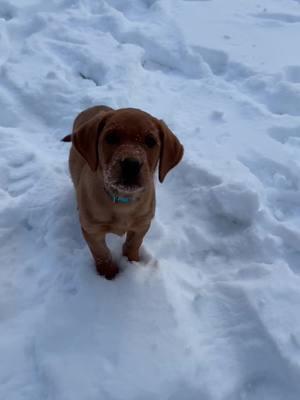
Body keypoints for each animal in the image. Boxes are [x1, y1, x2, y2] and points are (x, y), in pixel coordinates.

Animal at [63, 108, 183, 280]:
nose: (131, 164)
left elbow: (133, 244)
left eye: (151, 141)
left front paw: (132, 262)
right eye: (111, 137)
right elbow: (101, 253)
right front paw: (108, 273)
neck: (122, 202)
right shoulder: (92, 230)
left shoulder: (142, 224)